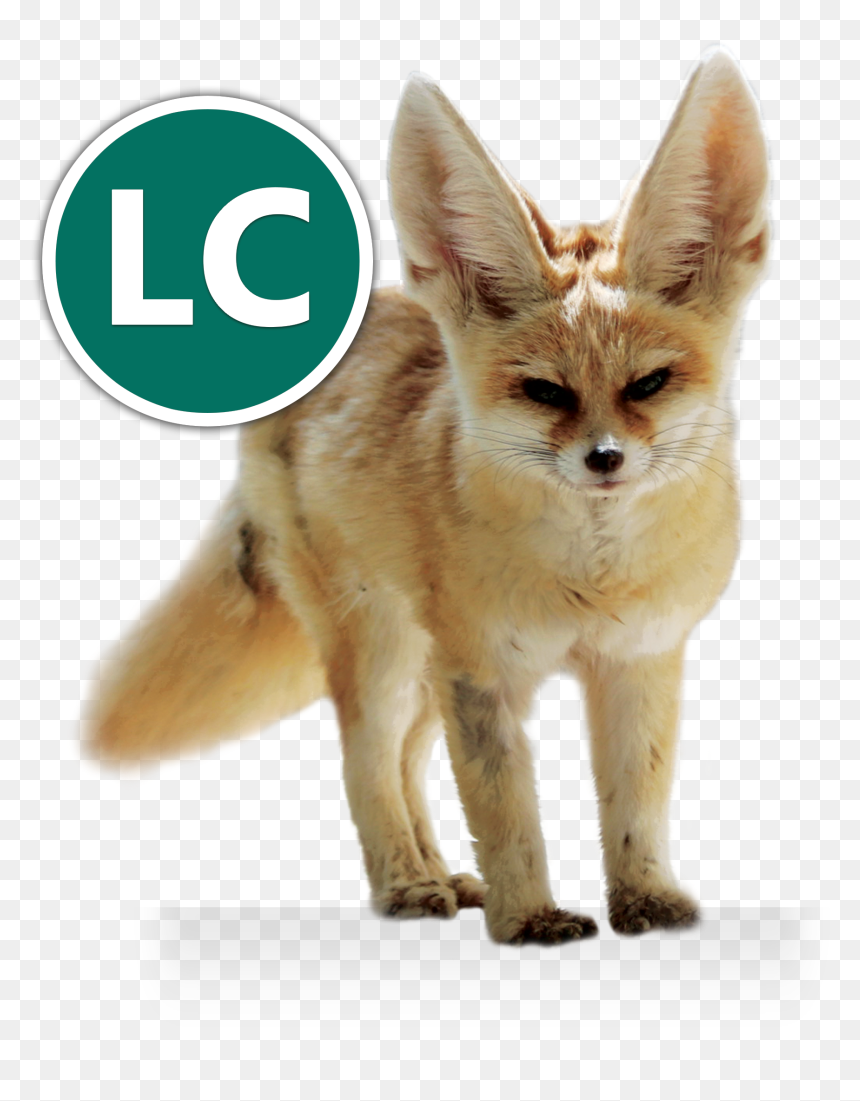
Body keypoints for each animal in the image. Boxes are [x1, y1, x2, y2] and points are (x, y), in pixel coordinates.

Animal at [87, 50, 769, 944]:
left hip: (419, 666)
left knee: (408, 764)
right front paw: (529, 917)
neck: (591, 580)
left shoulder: (637, 660)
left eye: (648, 384)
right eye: (544, 392)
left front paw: (644, 898)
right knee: (365, 761)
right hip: (383, 653)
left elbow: (636, 804)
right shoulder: (481, 673)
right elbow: (508, 813)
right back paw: (406, 883)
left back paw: (441, 870)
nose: (604, 459)